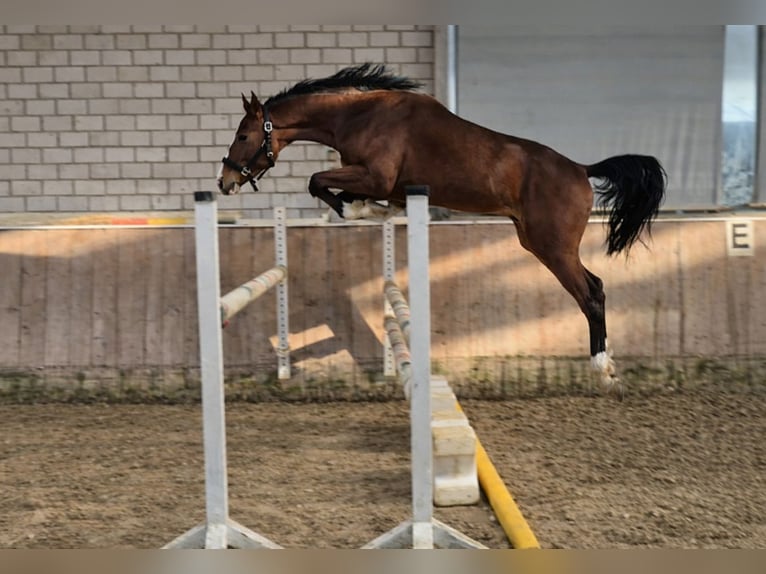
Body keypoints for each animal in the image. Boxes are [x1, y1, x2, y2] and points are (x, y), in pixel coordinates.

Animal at [216, 63, 667, 395]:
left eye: (244, 134)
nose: (225, 181)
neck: (359, 115)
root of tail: (581, 169)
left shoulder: (376, 176)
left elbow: (318, 181)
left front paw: (360, 210)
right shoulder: (386, 184)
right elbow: (338, 189)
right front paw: (371, 211)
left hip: (552, 248)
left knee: (591, 294)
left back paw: (604, 371)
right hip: (534, 242)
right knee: (595, 286)